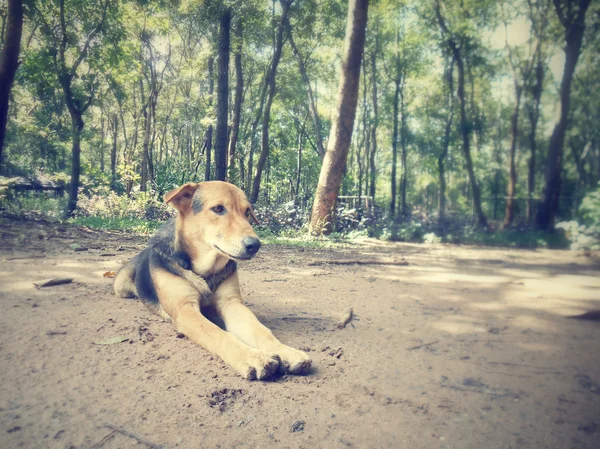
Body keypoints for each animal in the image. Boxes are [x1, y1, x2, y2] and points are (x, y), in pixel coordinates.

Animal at [112, 180, 312, 380]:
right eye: (218, 209)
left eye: (247, 211)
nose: (255, 245)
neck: (206, 270)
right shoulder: (185, 310)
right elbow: (217, 333)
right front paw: (251, 356)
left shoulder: (232, 304)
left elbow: (261, 331)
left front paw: (285, 351)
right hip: (120, 286)